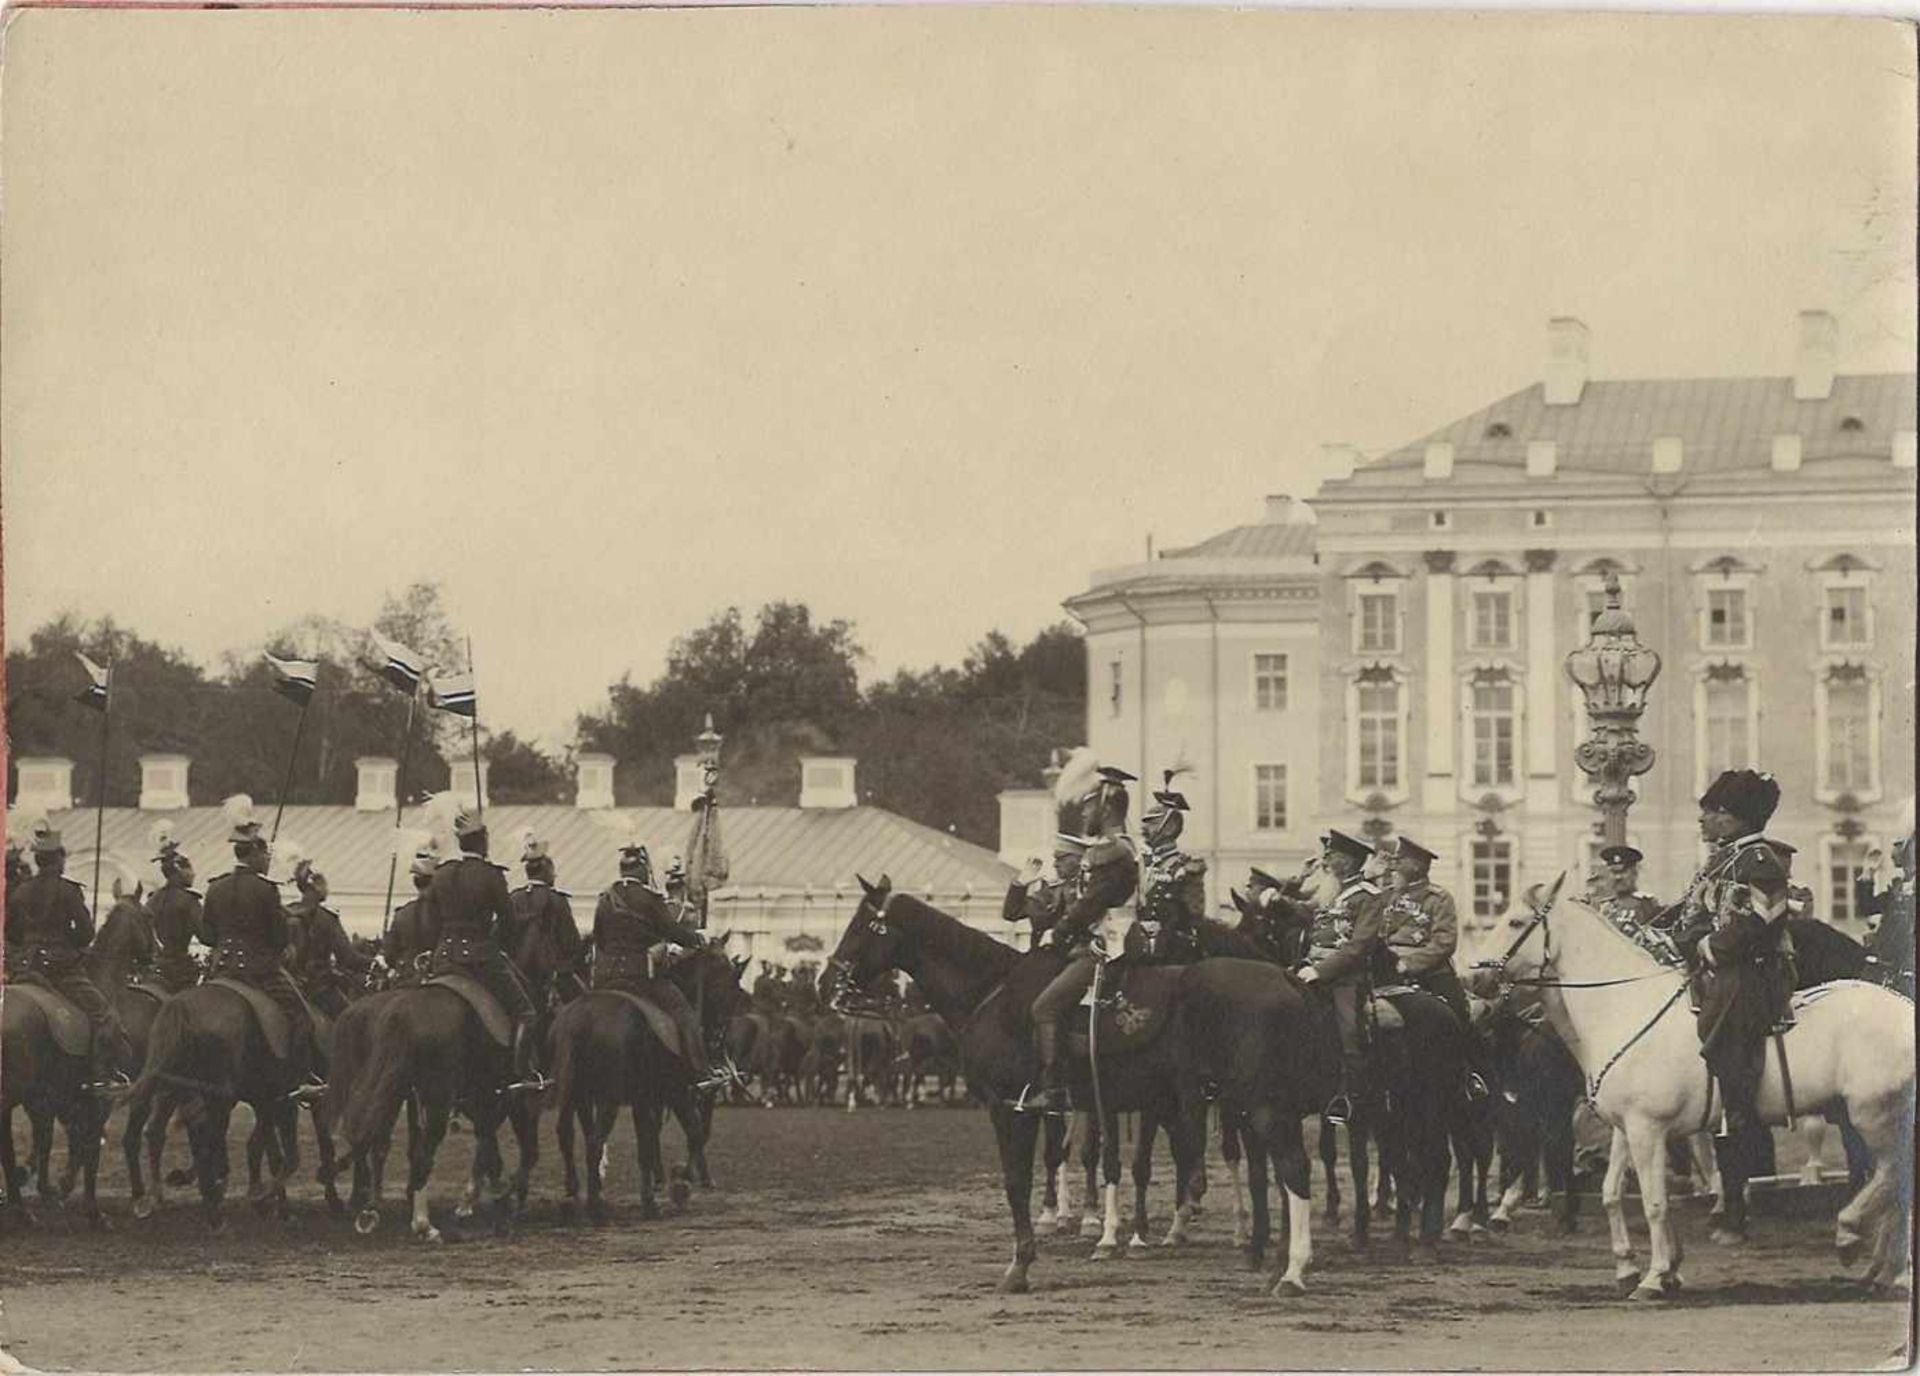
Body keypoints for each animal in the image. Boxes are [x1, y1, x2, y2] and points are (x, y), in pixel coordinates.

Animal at [1505, 878, 1912, 1297]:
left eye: (1514, 922)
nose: (1481, 972)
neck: (1625, 1007)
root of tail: (1903, 1005)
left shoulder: (1647, 1128)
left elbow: (1655, 1202)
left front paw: (1654, 1276)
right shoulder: (1628, 1128)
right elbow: (1613, 1193)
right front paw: (1643, 1267)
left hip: (1872, 1114)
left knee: (1892, 1172)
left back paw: (1854, 1239)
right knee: (1895, 1185)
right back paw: (1883, 1269)